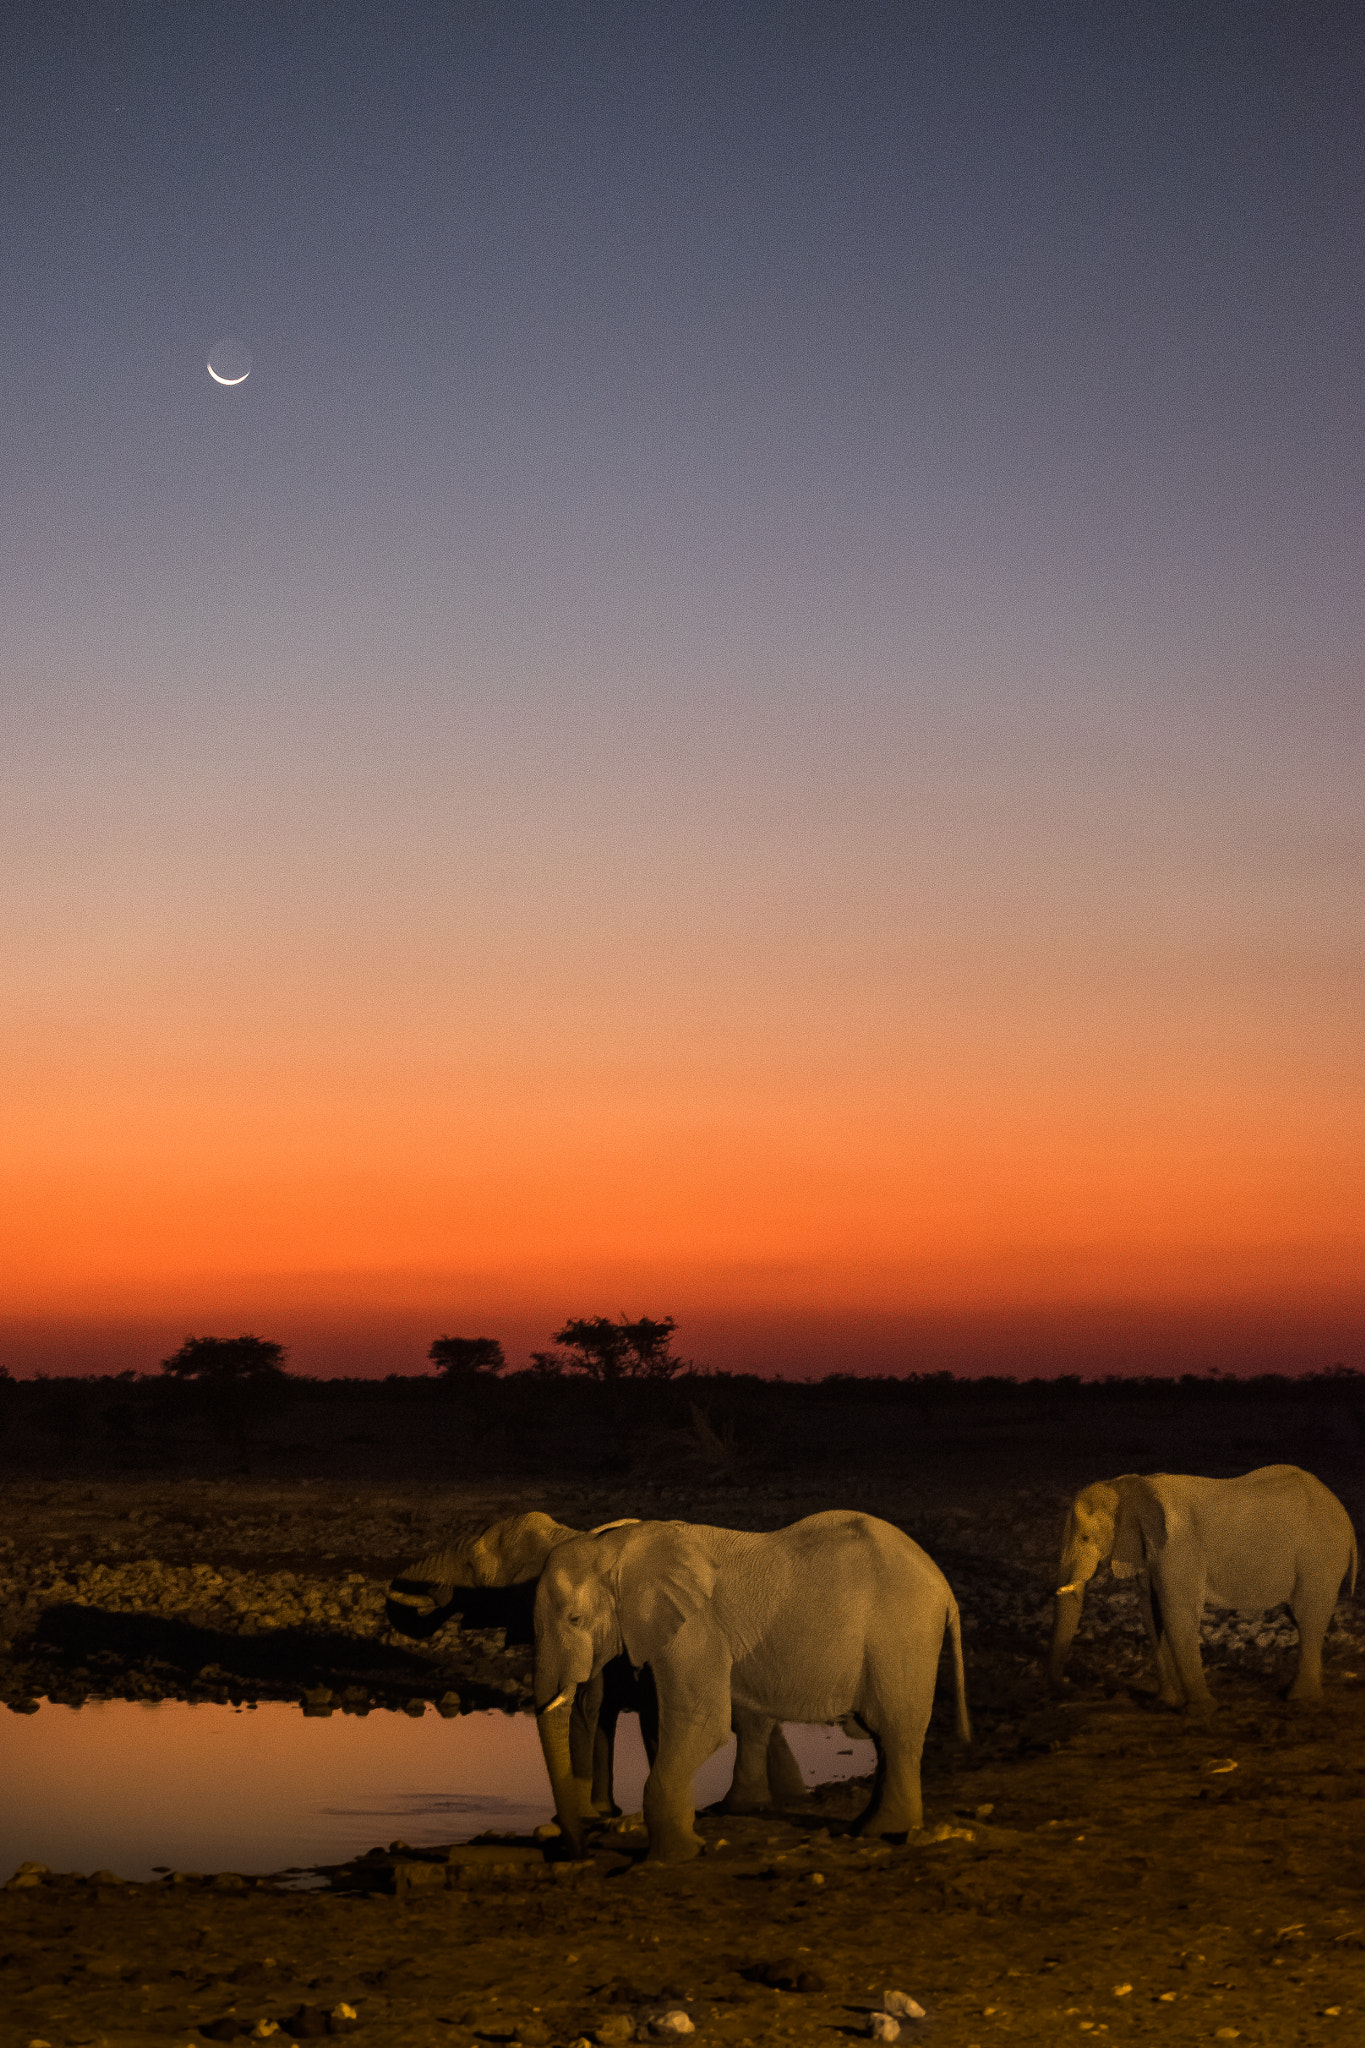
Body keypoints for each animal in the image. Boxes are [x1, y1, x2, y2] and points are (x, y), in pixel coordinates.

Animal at [384, 1507, 806, 1826]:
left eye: (472, 1566)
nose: (433, 1593)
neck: (564, 1537)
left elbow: (591, 1709)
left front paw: (588, 1815)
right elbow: (600, 1712)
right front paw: (602, 1812)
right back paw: (788, 1799)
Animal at [532, 1507, 970, 1859]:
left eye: (575, 1619)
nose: (578, 1850)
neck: (617, 1548)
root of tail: (944, 1585)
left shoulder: (696, 1629)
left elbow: (702, 1723)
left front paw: (674, 1856)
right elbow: (667, 1723)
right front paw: (689, 1844)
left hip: (901, 1634)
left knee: (895, 1731)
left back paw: (883, 1831)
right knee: (887, 1738)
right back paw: (868, 1827)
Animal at [1047, 1458, 1358, 1712]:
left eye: (1085, 1538)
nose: (1069, 1686)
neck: (1126, 1487)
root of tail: (1344, 1516)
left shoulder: (1177, 1550)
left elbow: (1177, 1613)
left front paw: (1203, 1709)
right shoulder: (1149, 1552)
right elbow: (1151, 1614)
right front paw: (1166, 1704)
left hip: (1320, 1556)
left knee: (1308, 1617)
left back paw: (1298, 1698)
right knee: (1302, 1619)